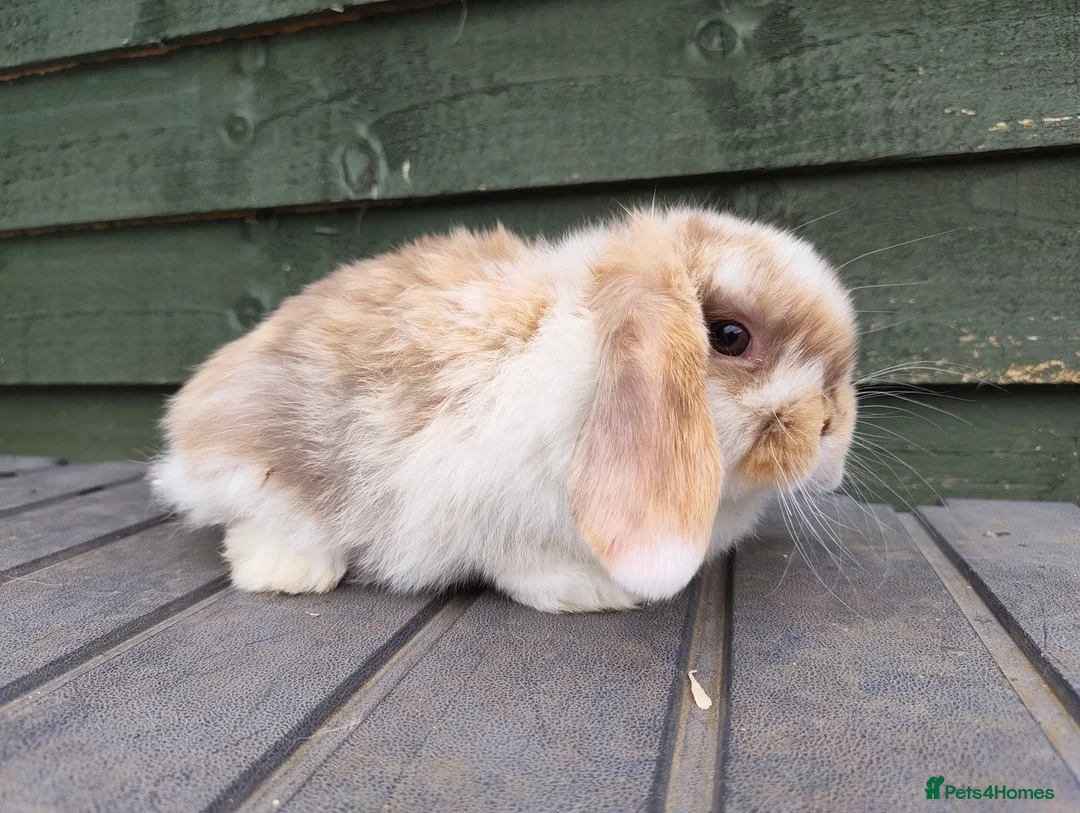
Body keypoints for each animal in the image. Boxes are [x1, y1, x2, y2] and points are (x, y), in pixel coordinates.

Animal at [151, 205, 858, 613]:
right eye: (730, 336)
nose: (831, 427)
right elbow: (522, 560)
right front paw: (589, 593)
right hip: (262, 462)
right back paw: (290, 572)